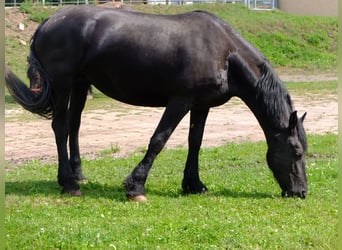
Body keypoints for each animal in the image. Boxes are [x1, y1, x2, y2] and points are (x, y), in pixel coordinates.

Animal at [5, 5, 308, 201]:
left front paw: (193, 184)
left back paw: (77, 174)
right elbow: (159, 139)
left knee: (74, 126)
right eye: (296, 152)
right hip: (62, 83)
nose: (301, 192)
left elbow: (195, 142)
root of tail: (49, 20)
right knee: (60, 127)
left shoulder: (201, 105)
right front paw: (135, 187)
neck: (224, 53)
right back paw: (69, 184)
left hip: (80, 84)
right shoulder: (180, 101)